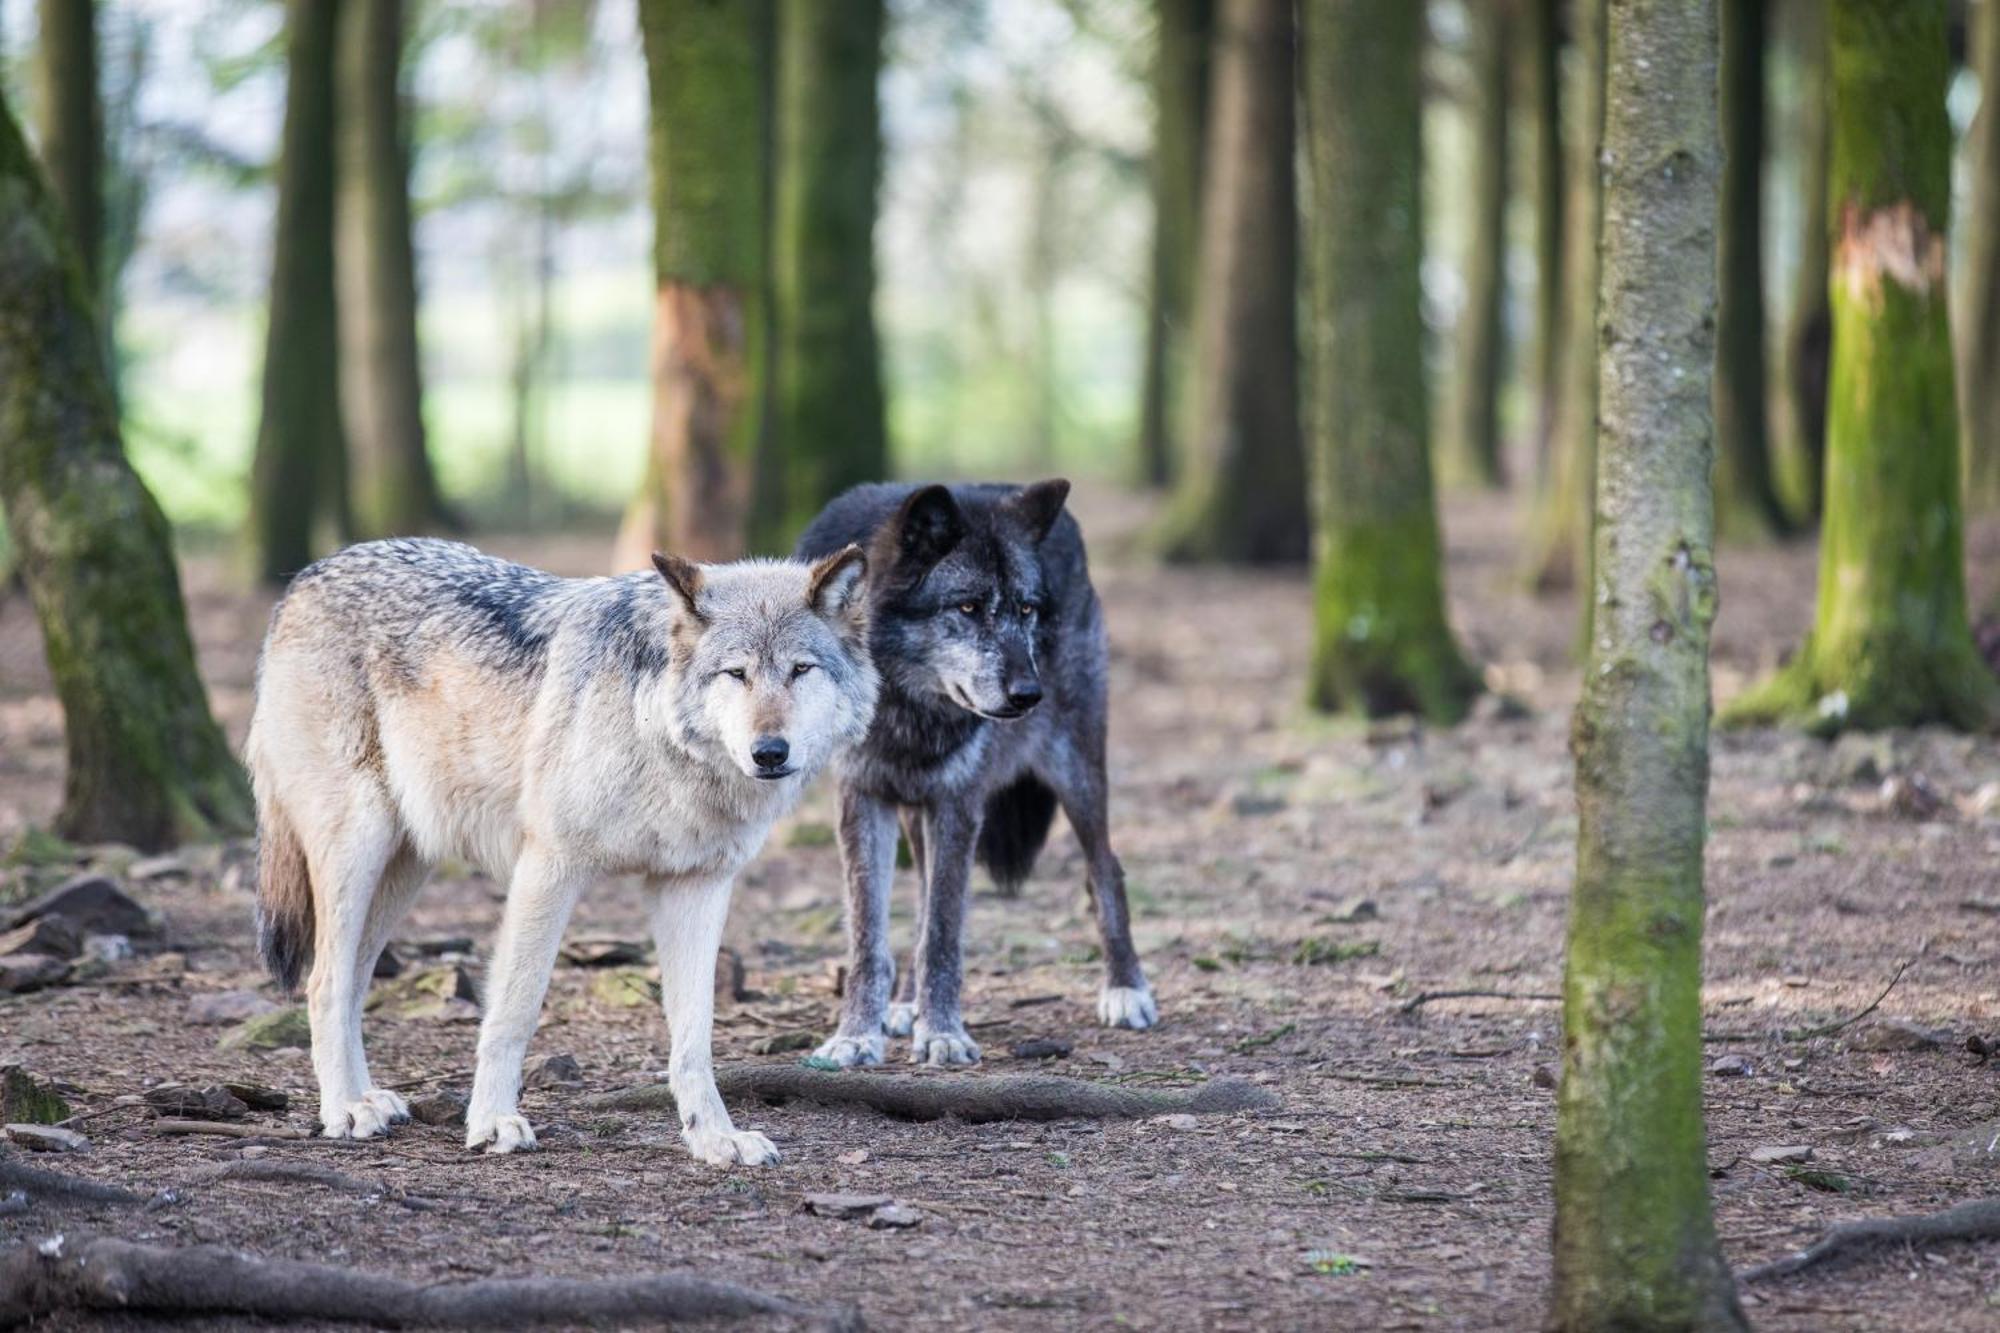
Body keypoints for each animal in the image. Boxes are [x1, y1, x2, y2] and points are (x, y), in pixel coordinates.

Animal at [246, 536, 872, 1160]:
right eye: (735, 673)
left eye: (800, 670)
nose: (770, 752)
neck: (658, 732)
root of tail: (306, 576)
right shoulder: (550, 866)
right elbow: (514, 1011)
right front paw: (493, 1121)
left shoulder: (697, 884)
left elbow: (695, 1037)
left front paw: (714, 1136)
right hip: (358, 844)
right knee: (323, 983)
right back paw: (344, 1110)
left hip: (405, 868)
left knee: (353, 980)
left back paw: (366, 1098)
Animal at [788, 482, 1152, 1064]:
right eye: (968, 606)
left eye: (1026, 609)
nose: (1029, 694)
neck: (904, 705)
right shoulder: (862, 797)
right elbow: (870, 937)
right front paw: (856, 1036)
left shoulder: (959, 802)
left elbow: (942, 933)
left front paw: (941, 1034)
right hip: (916, 809)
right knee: (918, 900)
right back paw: (903, 1006)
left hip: (1077, 772)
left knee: (1106, 872)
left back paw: (1126, 990)